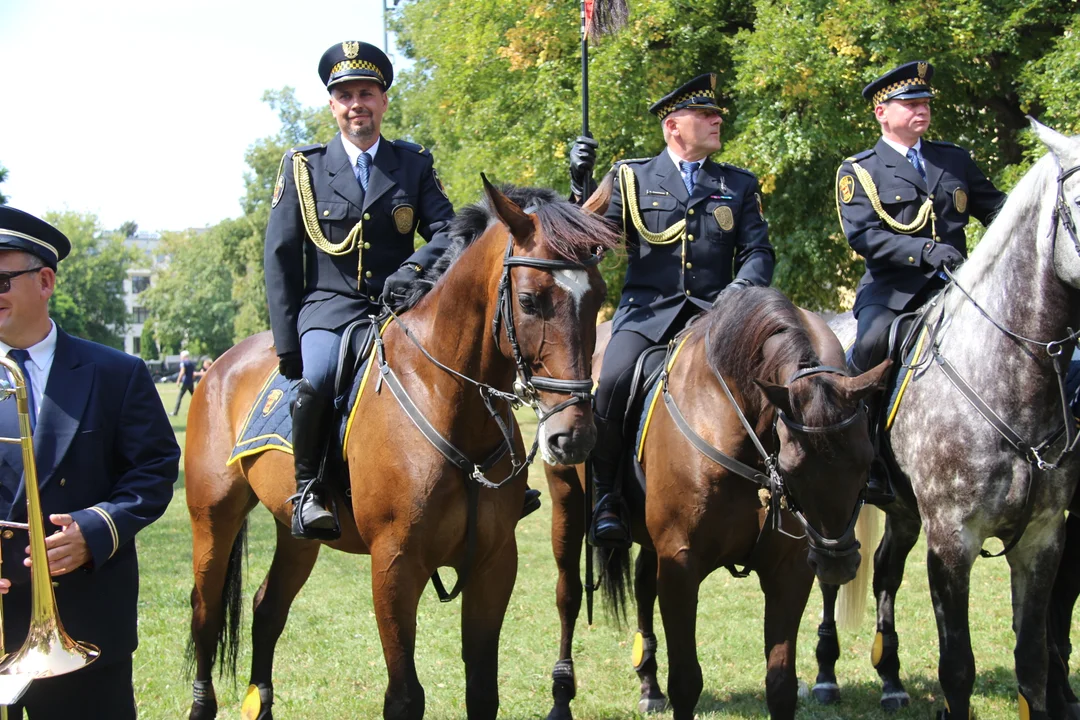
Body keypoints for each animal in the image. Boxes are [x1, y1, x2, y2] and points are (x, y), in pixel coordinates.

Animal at [183, 180, 617, 720]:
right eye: (531, 300)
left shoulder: (495, 564)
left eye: (598, 296)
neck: (449, 403)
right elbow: (405, 696)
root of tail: (220, 365)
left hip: (297, 534)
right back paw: (202, 704)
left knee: (267, 610)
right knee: (204, 613)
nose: (573, 435)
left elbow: (483, 691)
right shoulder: (394, 565)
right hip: (213, 518)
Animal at [544, 284, 889, 716]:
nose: (837, 563)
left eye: (867, 460)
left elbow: (781, 683)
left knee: (642, 585)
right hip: (568, 504)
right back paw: (561, 696)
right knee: (568, 595)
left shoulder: (790, 570)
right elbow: (686, 682)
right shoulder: (681, 563)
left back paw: (648, 684)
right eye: (793, 467)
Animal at [812, 119, 1080, 720]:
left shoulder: (1044, 539)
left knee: (884, 570)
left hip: (902, 511)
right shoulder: (952, 539)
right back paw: (824, 675)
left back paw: (890, 678)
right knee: (829, 575)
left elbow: (1033, 660)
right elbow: (957, 666)